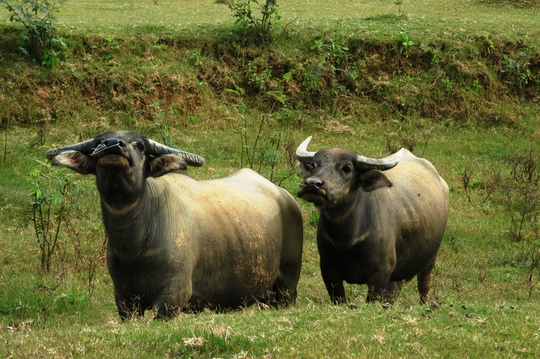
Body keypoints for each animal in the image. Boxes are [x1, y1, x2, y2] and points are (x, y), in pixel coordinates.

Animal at [46, 131, 304, 320]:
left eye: (139, 145)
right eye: (100, 141)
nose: (112, 146)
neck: (136, 247)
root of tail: (285, 196)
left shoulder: (173, 297)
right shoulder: (125, 300)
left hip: (287, 284)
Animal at [296, 136, 448, 306]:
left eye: (347, 168)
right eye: (314, 165)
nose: (312, 184)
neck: (346, 240)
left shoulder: (380, 275)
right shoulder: (329, 271)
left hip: (430, 260)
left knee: (424, 286)